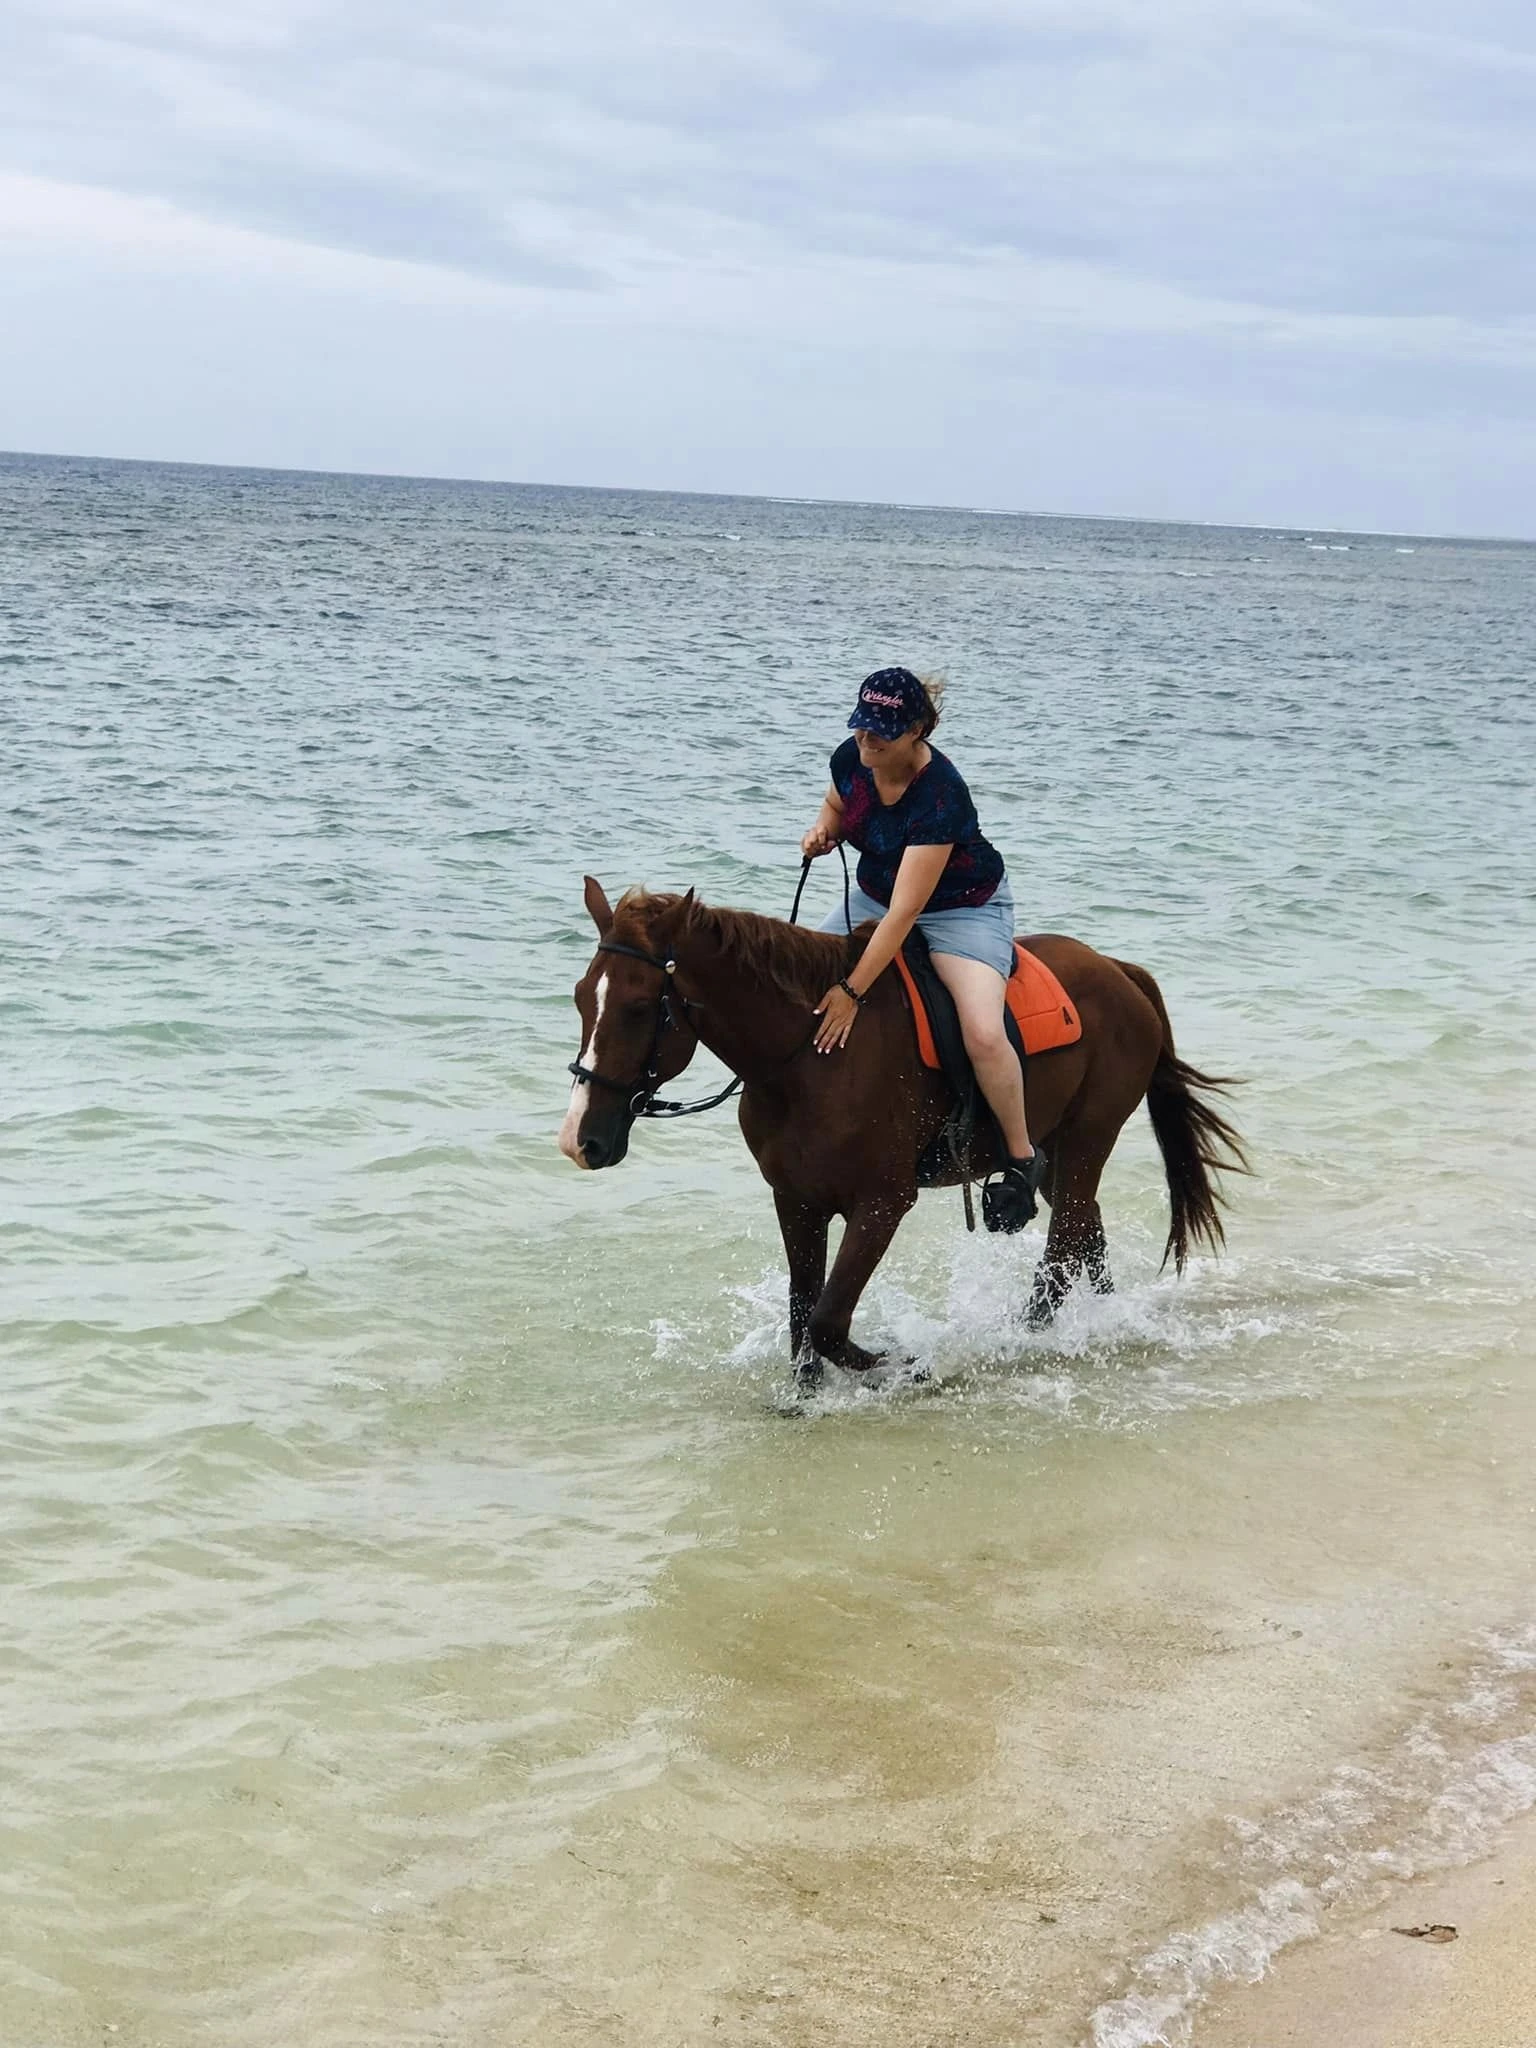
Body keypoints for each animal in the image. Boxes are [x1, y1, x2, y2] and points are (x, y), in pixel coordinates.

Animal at [558, 878, 1247, 1381]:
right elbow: (802, 1314)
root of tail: (1118, 971)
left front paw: (905, 1364)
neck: (809, 1057)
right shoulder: (796, 1201)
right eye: (580, 997)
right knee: (1086, 1241)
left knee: (1061, 1253)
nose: (580, 1140)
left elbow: (828, 1321)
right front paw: (804, 1399)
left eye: (639, 1007)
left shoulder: (883, 1203)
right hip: (1058, 1154)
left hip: (1084, 1143)